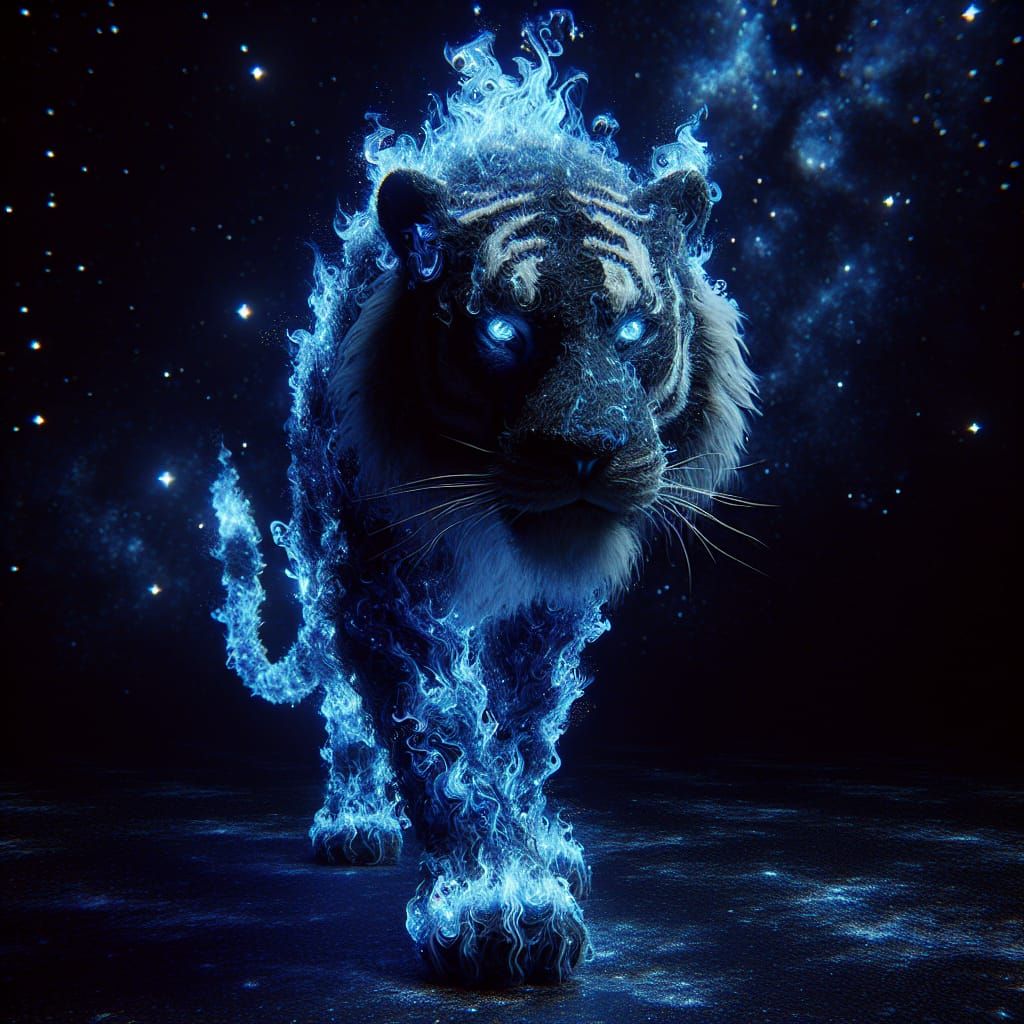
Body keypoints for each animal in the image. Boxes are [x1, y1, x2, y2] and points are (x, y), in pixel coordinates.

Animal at [212, 13, 756, 989]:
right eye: (504, 332)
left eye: (632, 330)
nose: (588, 452)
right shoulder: (379, 581)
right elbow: (438, 737)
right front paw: (496, 908)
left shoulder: (548, 611)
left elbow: (521, 730)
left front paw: (535, 850)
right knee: (349, 719)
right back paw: (355, 822)